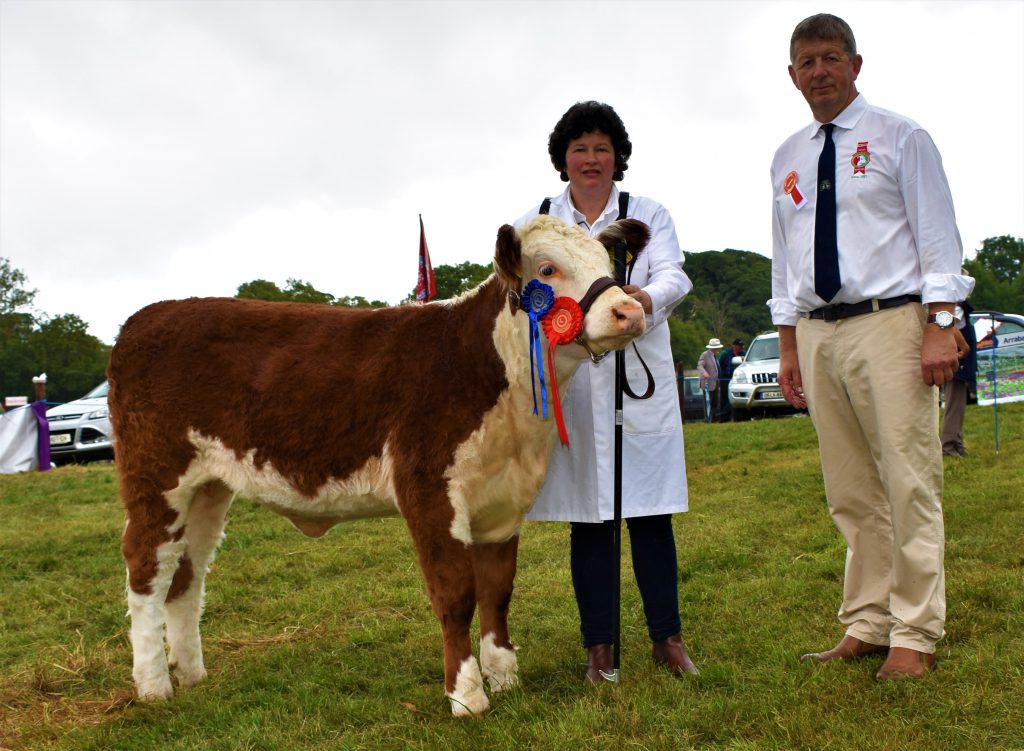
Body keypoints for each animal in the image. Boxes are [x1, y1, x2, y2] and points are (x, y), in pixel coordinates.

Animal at [108, 215, 650, 716]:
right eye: (547, 269)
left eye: (608, 267)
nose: (628, 311)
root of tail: (145, 317)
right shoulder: (428, 488)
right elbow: (456, 594)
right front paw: (467, 696)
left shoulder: (503, 501)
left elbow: (497, 591)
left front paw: (504, 678)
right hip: (156, 477)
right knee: (147, 570)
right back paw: (153, 685)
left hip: (208, 487)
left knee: (188, 572)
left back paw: (191, 674)